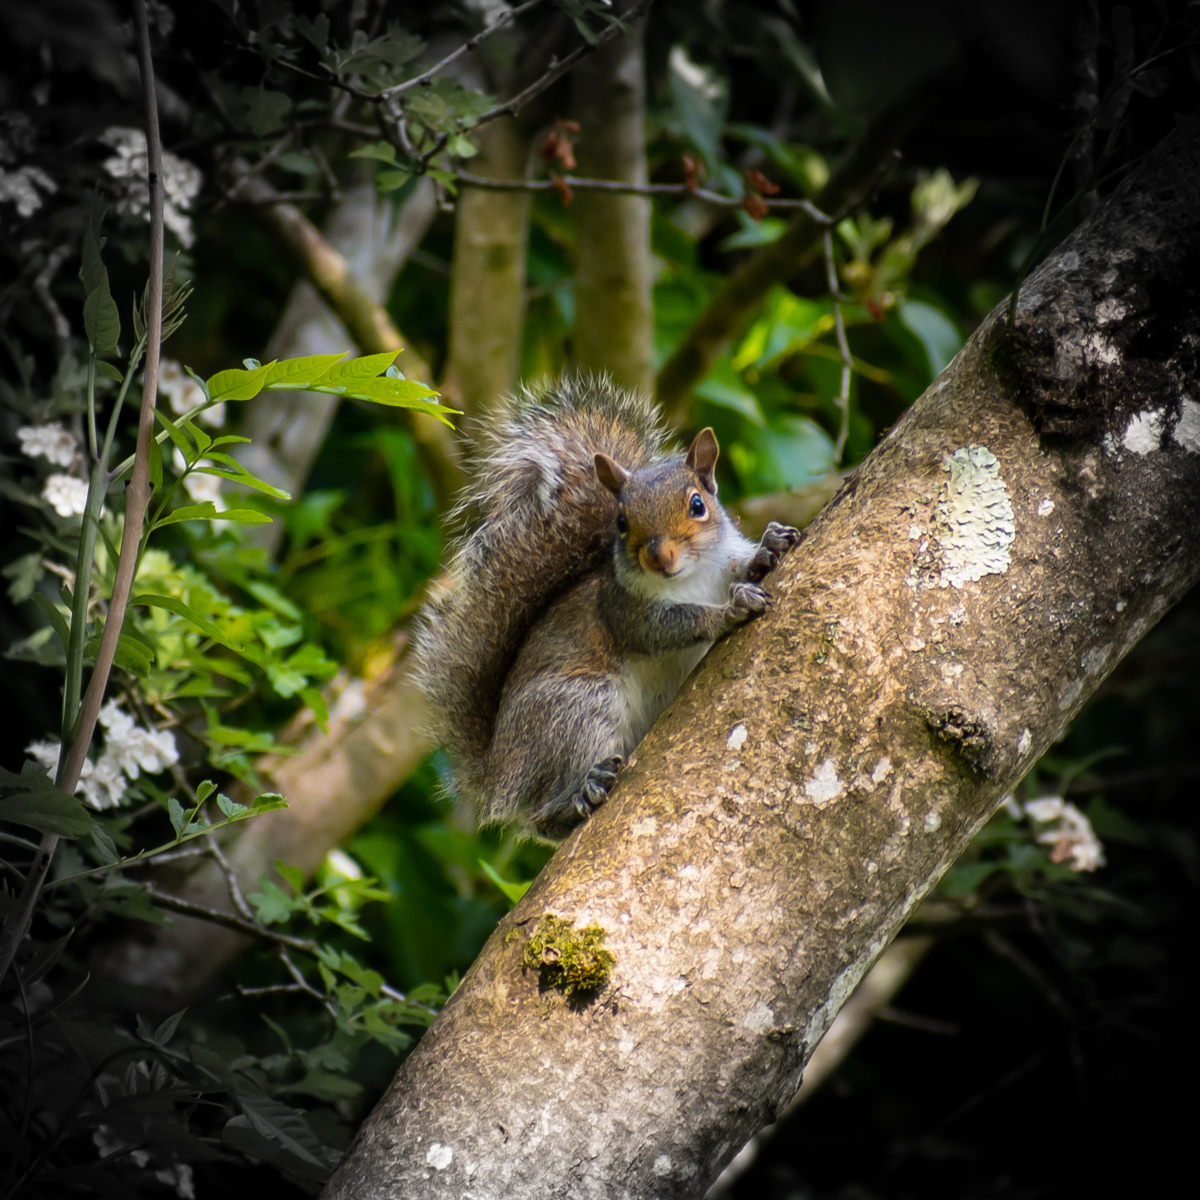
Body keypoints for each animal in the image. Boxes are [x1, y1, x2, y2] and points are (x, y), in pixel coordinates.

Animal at [417, 372, 801, 835]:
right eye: (621, 522)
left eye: (698, 505)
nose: (660, 557)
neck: (694, 577)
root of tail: (497, 774)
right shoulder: (625, 610)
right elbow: (670, 627)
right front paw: (729, 610)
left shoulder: (720, 563)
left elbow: (740, 563)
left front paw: (768, 546)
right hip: (579, 707)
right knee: (543, 815)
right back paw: (580, 795)